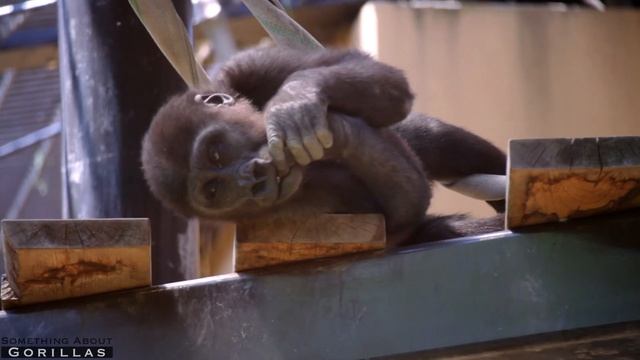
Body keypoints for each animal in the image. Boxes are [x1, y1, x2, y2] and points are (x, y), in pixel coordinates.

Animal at [142, 46, 508, 246]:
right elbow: (404, 207)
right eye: (214, 190)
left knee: (430, 135)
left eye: (216, 152)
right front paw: (343, 134)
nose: (249, 177)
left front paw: (295, 102)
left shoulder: (249, 66)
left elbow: (365, 69)